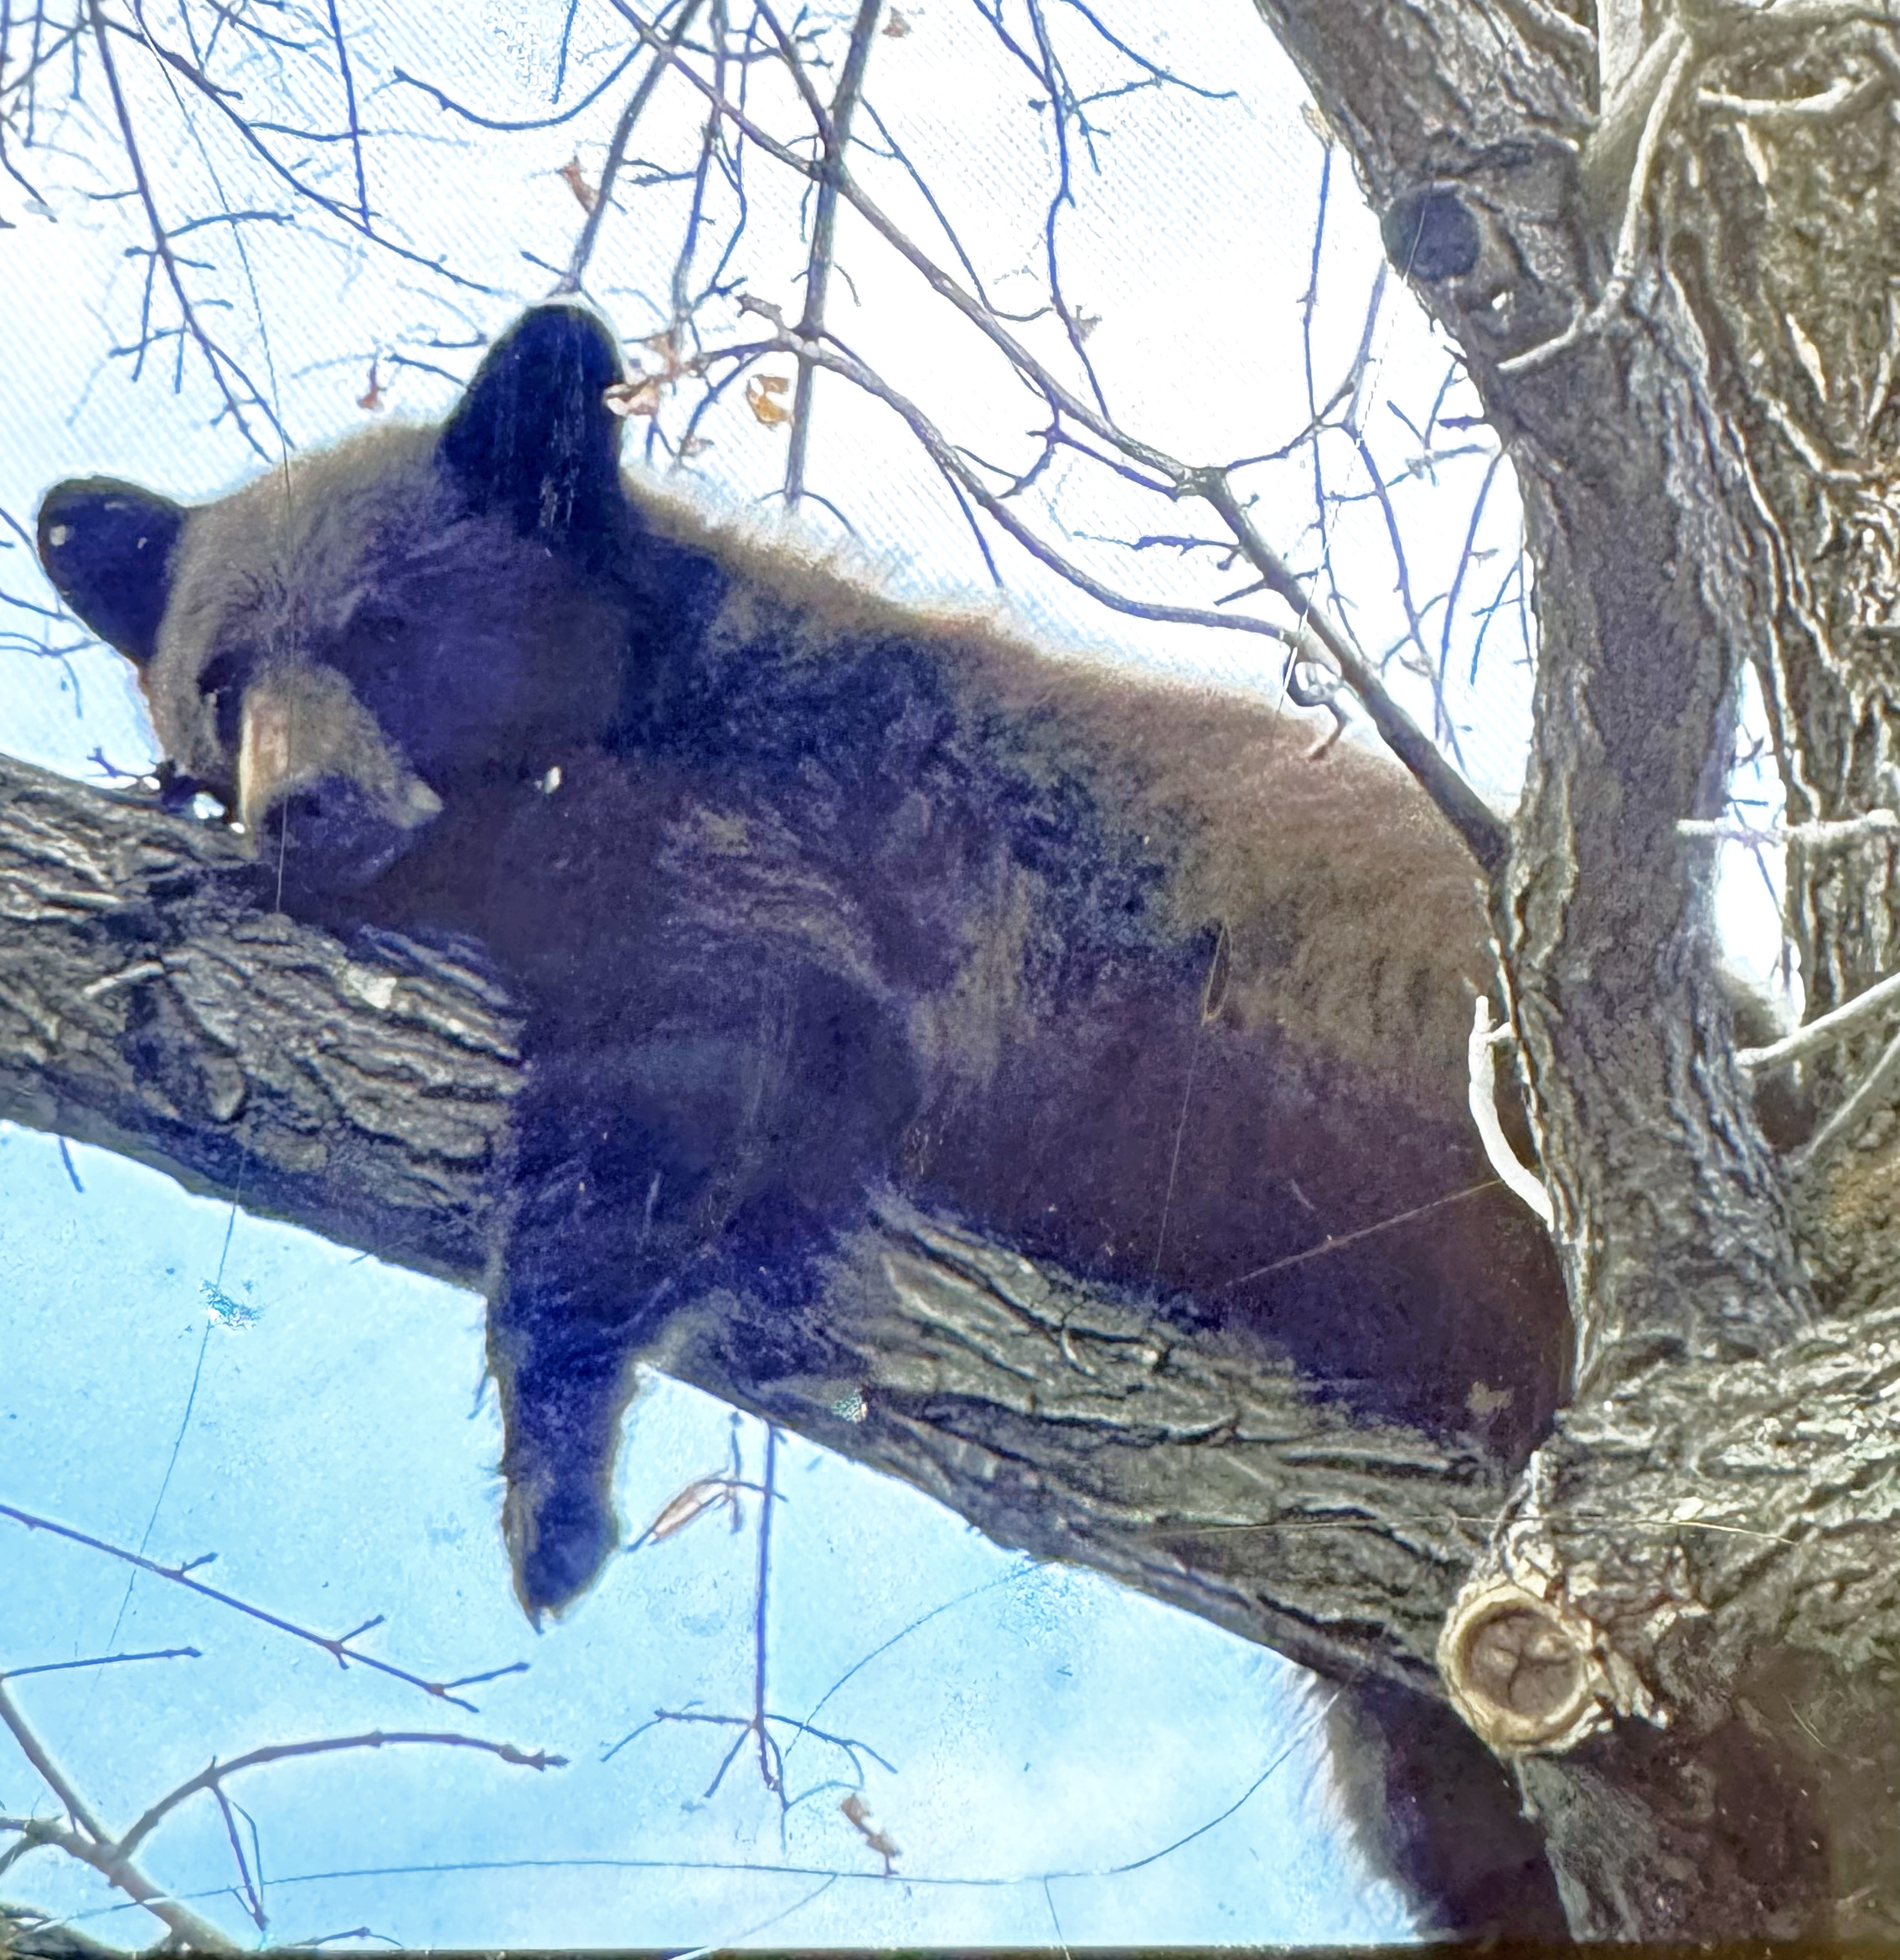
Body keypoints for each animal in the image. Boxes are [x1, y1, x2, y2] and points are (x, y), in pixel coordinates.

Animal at [40, 302, 1568, 1928]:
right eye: (220, 675)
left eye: (388, 627)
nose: (304, 809)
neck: (635, 709)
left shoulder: (802, 843)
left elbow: (715, 1061)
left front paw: (552, 1504)